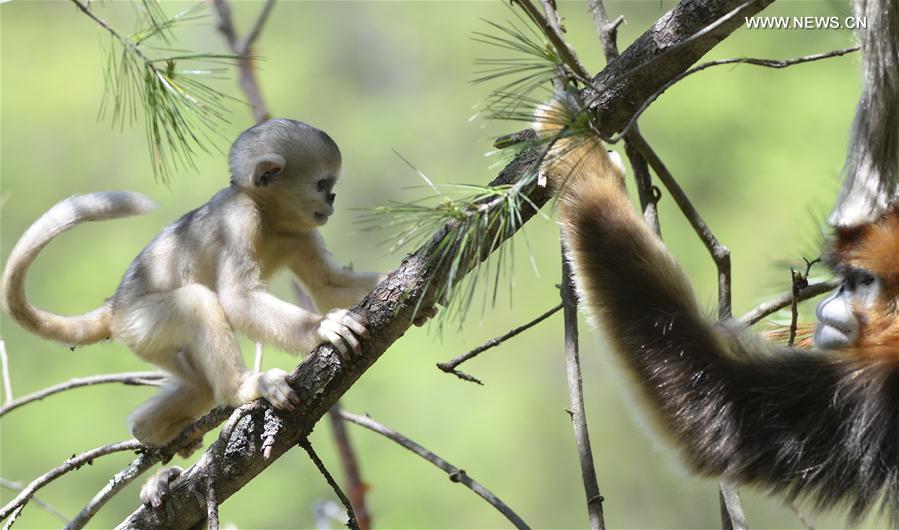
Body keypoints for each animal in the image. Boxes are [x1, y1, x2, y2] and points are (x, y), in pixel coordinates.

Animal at [536, 0, 899, 520]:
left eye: (863, 281)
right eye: (846, 280)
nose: (832, 301)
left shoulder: (870, 393)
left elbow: (712, 405)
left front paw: (580, 159)